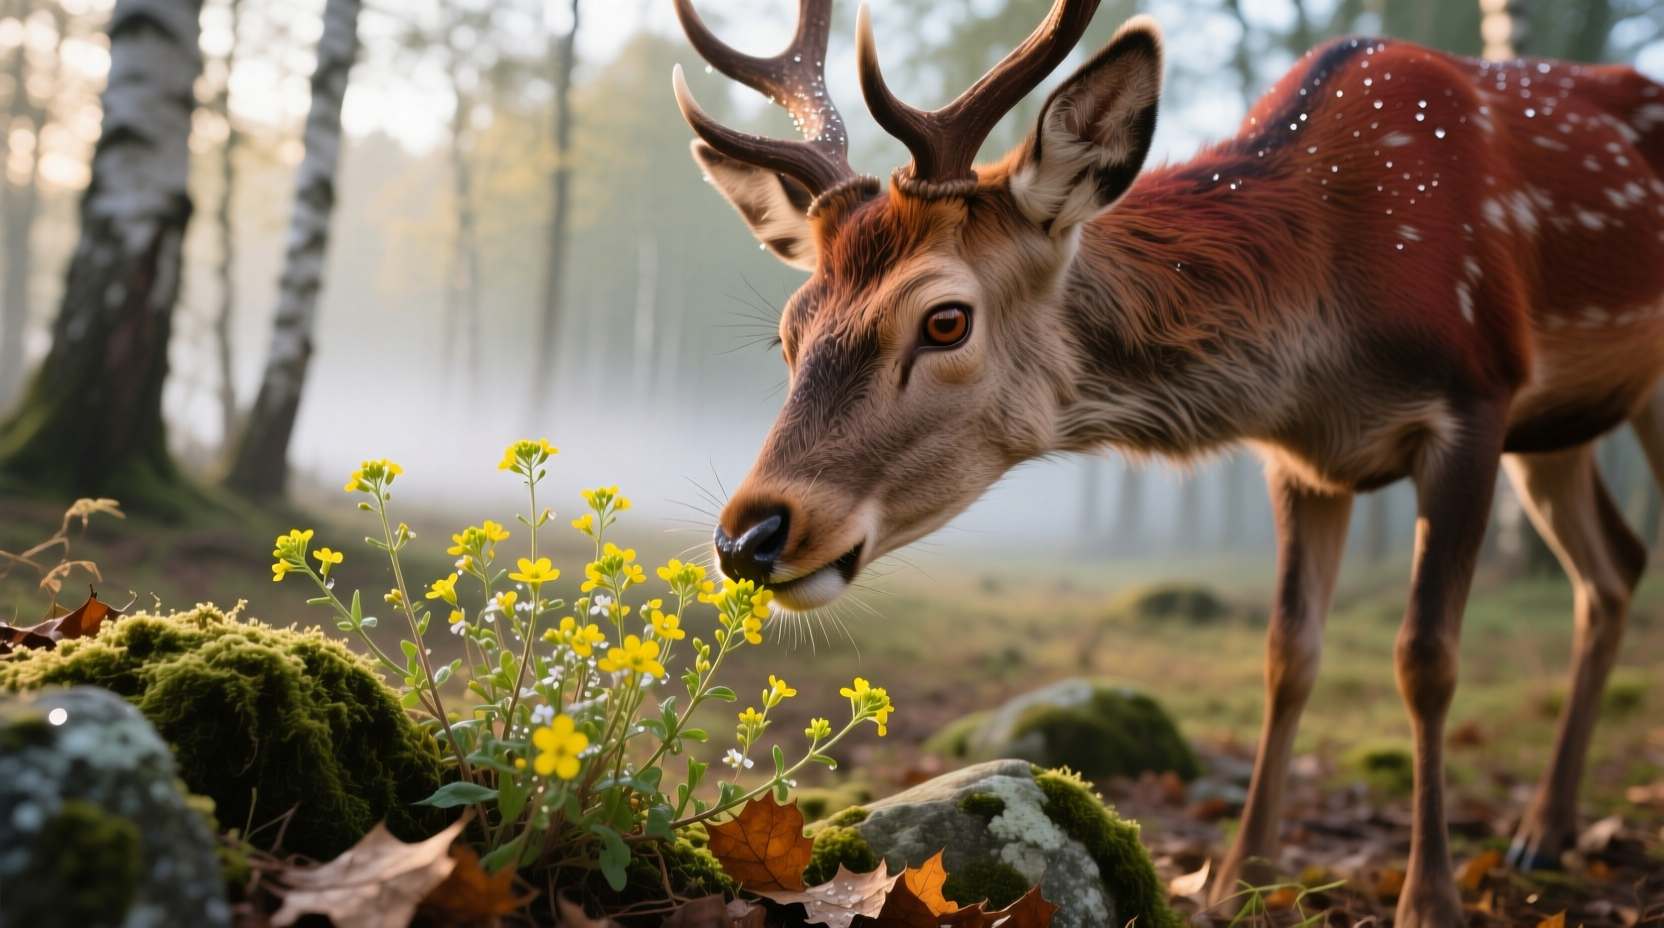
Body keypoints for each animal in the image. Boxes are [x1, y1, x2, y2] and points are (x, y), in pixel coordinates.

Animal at [669, 0, 1664, 923]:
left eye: (944, 319)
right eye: (790, 330)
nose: (750, 535)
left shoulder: (1475, 398)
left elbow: (1426, 657)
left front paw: (1429, 900)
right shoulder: (1302, 457)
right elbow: (1287, 650)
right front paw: (1236, 877)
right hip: (1556, 433)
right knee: (1613, 566)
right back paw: (1544, 829)